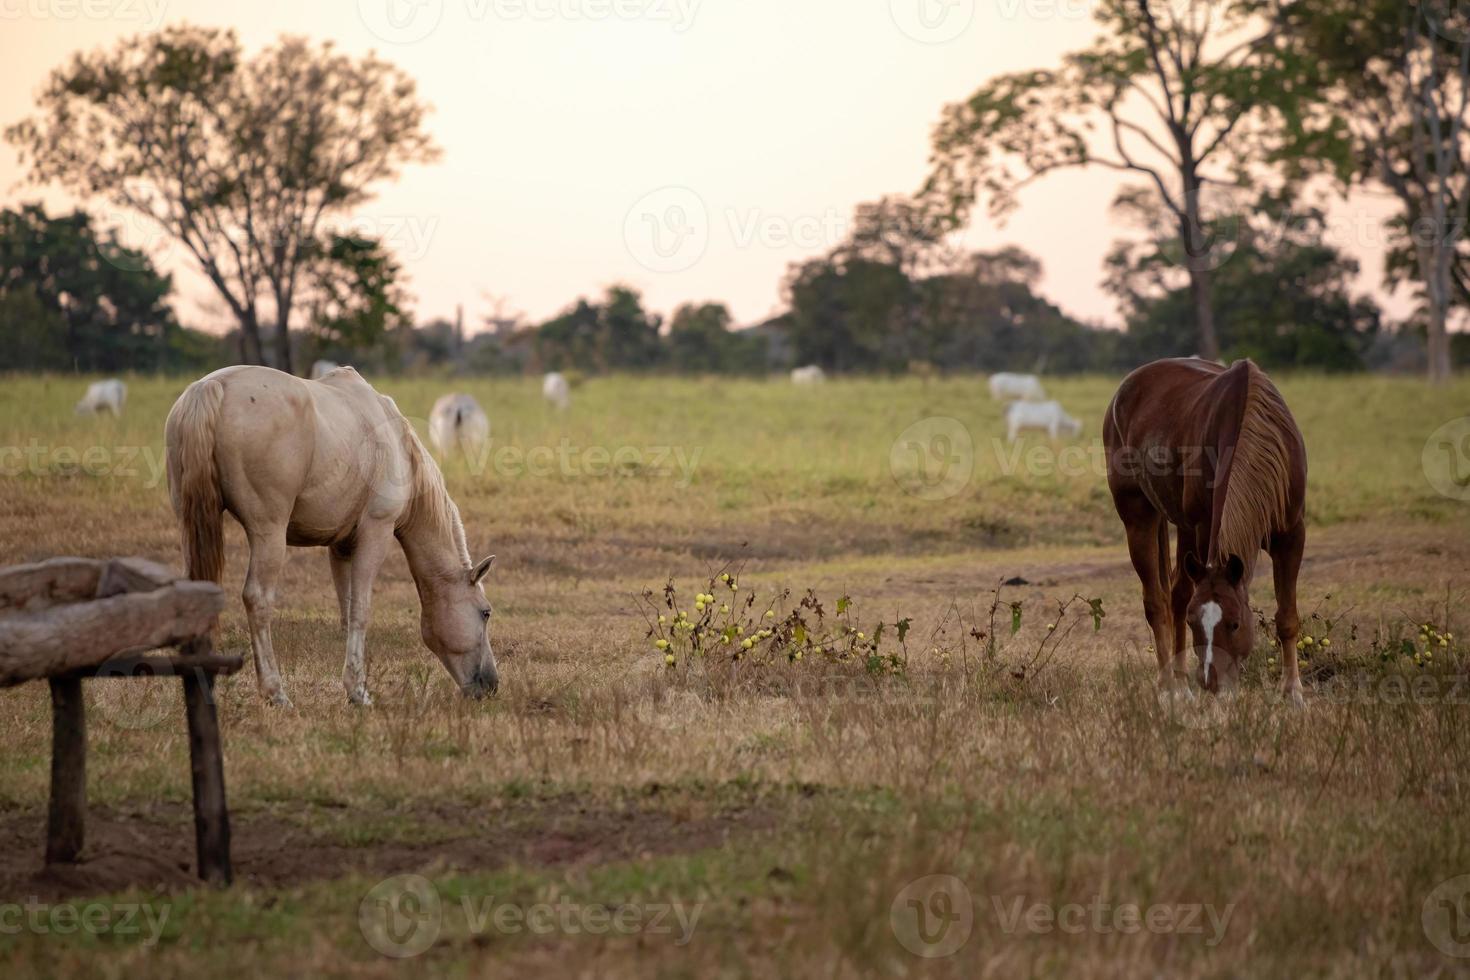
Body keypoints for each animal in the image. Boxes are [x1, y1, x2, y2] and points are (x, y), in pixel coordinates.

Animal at [165, 365, 499, 705]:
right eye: (485, 613)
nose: (491, 684)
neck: (400, 447)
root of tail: (213, 387)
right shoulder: (375, 533)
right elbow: (360, 610)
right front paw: (358, 692)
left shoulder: (341, 547)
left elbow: (346, 610)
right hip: (268, 533)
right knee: (257, 599)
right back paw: (275, 692)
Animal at [1105, 359, 1311, 705]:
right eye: (1194, 623)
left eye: (1235, 624)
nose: (1212, 682)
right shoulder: (1203, 528)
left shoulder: (1292, 534)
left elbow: (1287, 616)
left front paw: (1292, 690)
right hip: (1140, 517)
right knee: (1159, 601)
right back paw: (1169, 685)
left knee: (1175, 592)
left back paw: (1180, 683)